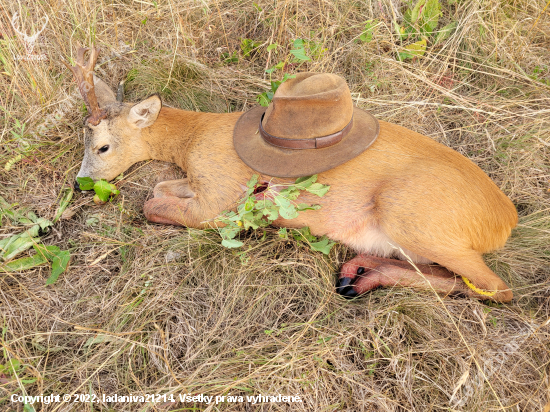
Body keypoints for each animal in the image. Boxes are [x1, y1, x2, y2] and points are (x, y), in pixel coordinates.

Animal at [69, 47, 520, 302]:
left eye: (102, 146)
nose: (79, 183)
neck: (195, 136)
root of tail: (504, 219)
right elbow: (161, 185)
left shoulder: (220, 198)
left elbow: (152, 204)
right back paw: (357, 273)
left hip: (412, 214)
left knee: (498, 288)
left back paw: (361, 277)